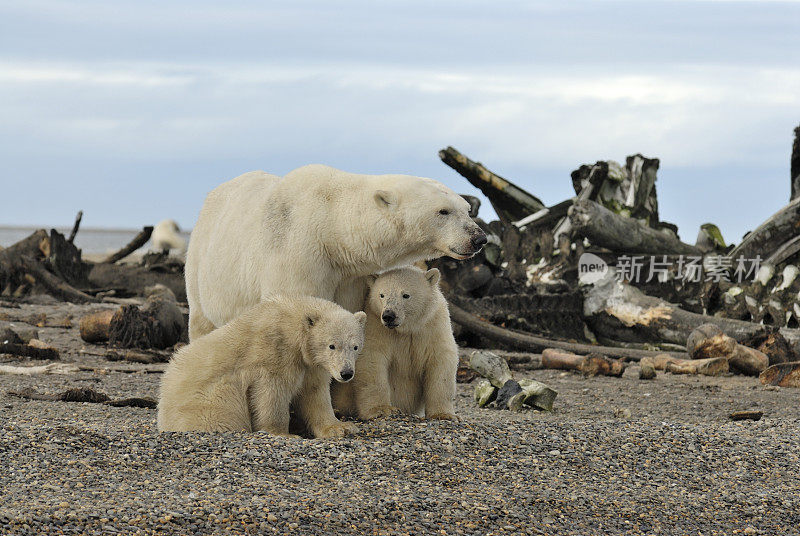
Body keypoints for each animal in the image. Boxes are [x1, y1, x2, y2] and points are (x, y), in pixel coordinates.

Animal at [155, 296, 366, 438]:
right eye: (332, 345)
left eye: (355, 346)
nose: (346, 373)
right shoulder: (274, 352)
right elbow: (271, 392)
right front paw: (283, 434)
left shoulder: (311, 365)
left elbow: (315, 394)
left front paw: (341, 427)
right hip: (206, 402)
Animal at [186, 163, 488, 340]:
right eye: (443, 211)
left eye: (466, 209)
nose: (479, 238)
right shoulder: (298, 253)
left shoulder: (348, 277)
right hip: (201, 264)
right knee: (202, 322)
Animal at [330, 266, 456, 420]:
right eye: (382, 295)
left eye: (406, 295)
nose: (389, 316)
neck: (405, 329)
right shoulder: (376, 325)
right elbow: (372, 361)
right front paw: (382, 409)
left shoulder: (432, 327)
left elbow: (441, 363)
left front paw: (444, 414)